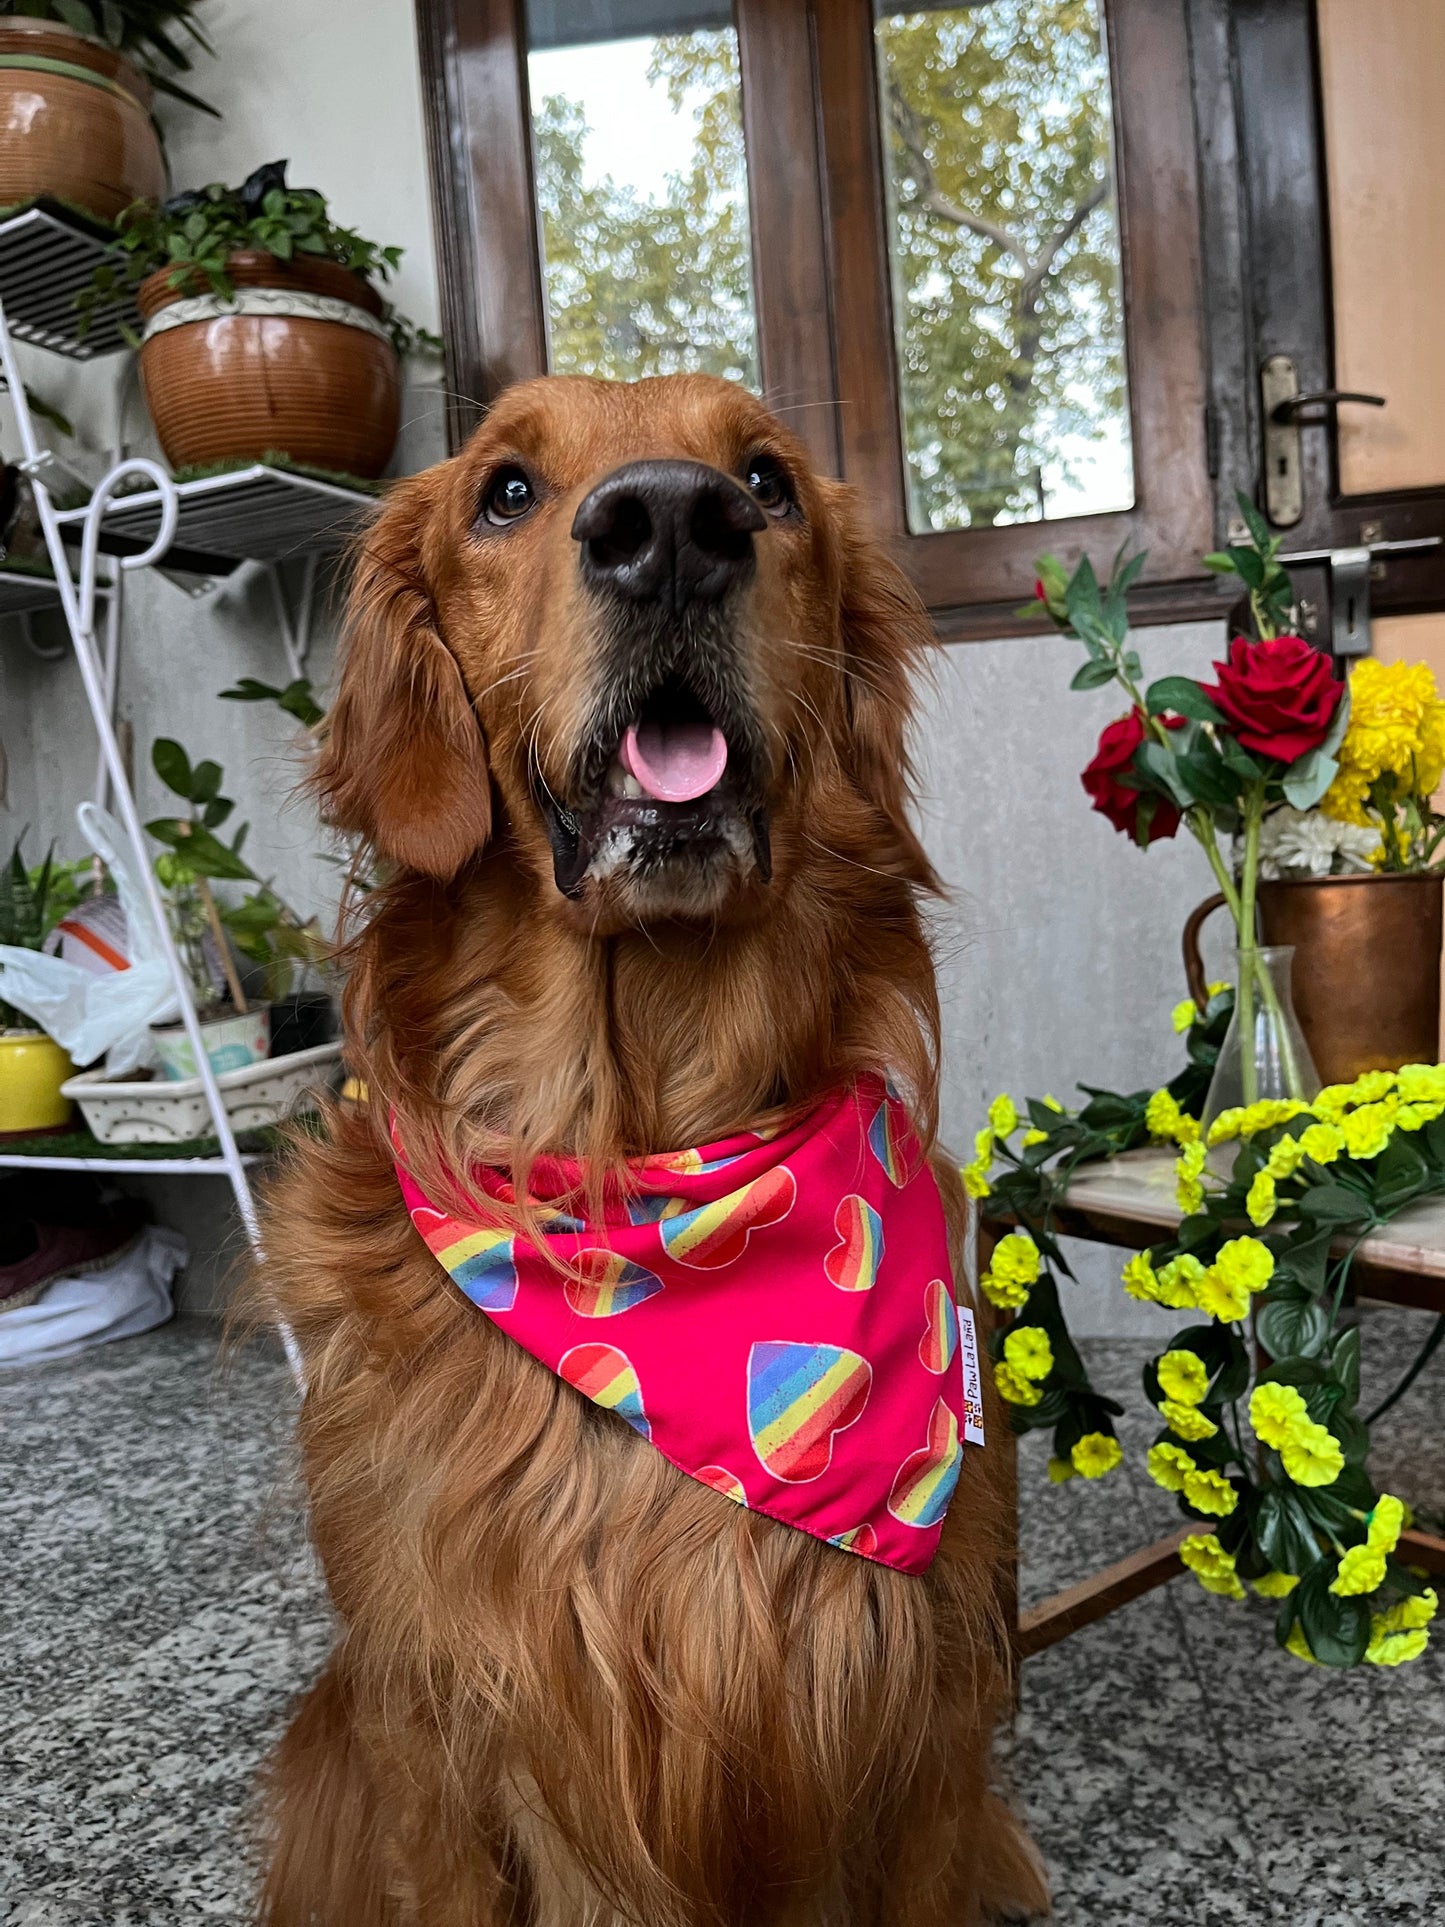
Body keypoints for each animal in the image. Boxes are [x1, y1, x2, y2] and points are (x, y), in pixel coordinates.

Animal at [258, 375, 1055, 1927]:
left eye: (768, 479)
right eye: (505, 491)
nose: (675, 525)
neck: (647, 1162)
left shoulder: (918, 1741)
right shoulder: (442, 1741)